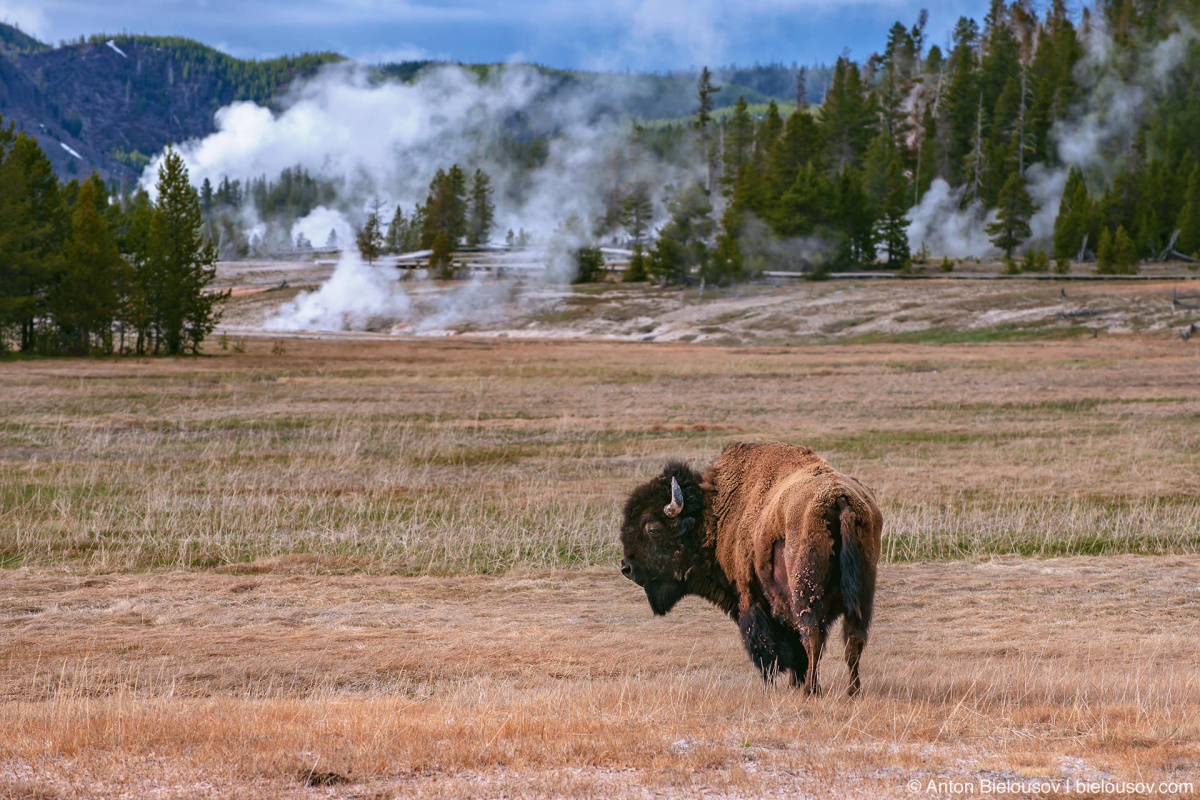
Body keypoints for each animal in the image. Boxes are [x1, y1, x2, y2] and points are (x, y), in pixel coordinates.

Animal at [619, 441, 883, 695]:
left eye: (652, 529)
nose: (626, 567)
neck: (715, 515)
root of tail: (840, 498)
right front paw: (792, 683)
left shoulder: (750, 597)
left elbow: (764, 645)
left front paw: (772, 686)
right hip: (862, 593)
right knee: (853, 639)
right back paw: (851, 690)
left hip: (806, 592)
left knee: (812, 636)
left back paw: (811, 690)